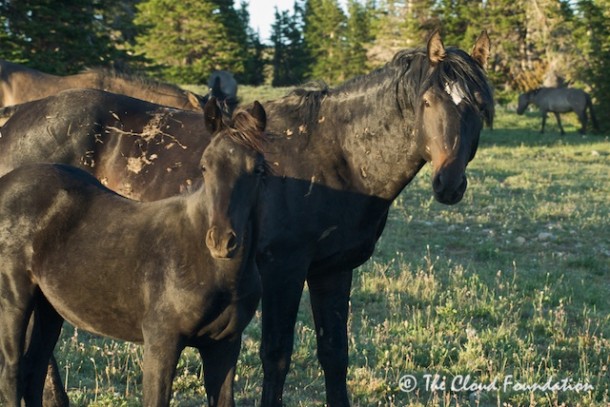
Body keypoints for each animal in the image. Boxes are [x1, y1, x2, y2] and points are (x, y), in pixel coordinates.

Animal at [0, 99, 266, 407]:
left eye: (258, 170)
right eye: (204, 167)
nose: (221, 241)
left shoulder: (224, 345)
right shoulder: (161, 342)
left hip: (47, 308)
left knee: (34, 371)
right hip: (14, 302)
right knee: (12, 373)